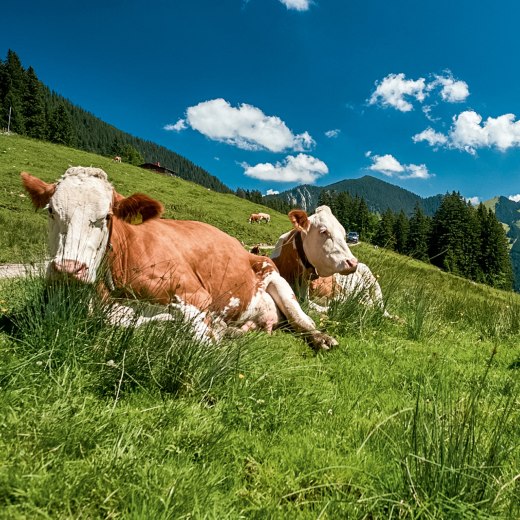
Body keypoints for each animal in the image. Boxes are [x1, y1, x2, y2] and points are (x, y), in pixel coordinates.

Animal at [21, 169, 338, 352]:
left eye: (106, 216)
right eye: (51, 211)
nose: (68, 269)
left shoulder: (194, 295)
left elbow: (202, 341)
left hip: (277, 281)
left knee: (302, 320)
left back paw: (322, 338)